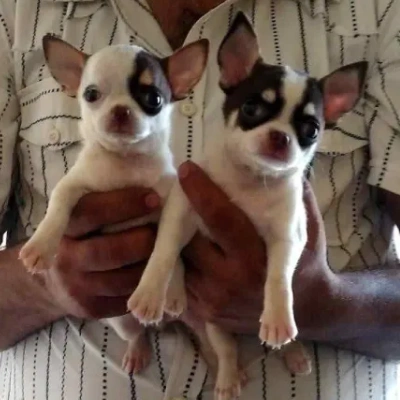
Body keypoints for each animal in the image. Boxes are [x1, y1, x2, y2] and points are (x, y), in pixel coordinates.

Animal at [18, 35, 208, 376]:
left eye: (154, 98)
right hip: (120, 322)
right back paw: (138, 351)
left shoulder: (173, 206)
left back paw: (172, 295)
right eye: (91, 94)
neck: (125, 161)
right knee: (137, 333)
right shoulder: (75, 184)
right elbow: (58, 204)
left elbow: (165, 249)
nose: (120, 111)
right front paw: (40, 246)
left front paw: (152, 292)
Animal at [126, 12, 368, 400]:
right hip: (215, 323)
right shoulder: (183, 213)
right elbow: (164, 251)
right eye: (252, 108)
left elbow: (279, 276)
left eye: (311, 130)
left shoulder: (289, 236)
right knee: (226, 348)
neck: (252, 180)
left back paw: (294, 353)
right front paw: (150, 294)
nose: (281, 137)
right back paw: (228, 378)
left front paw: (278, 318)